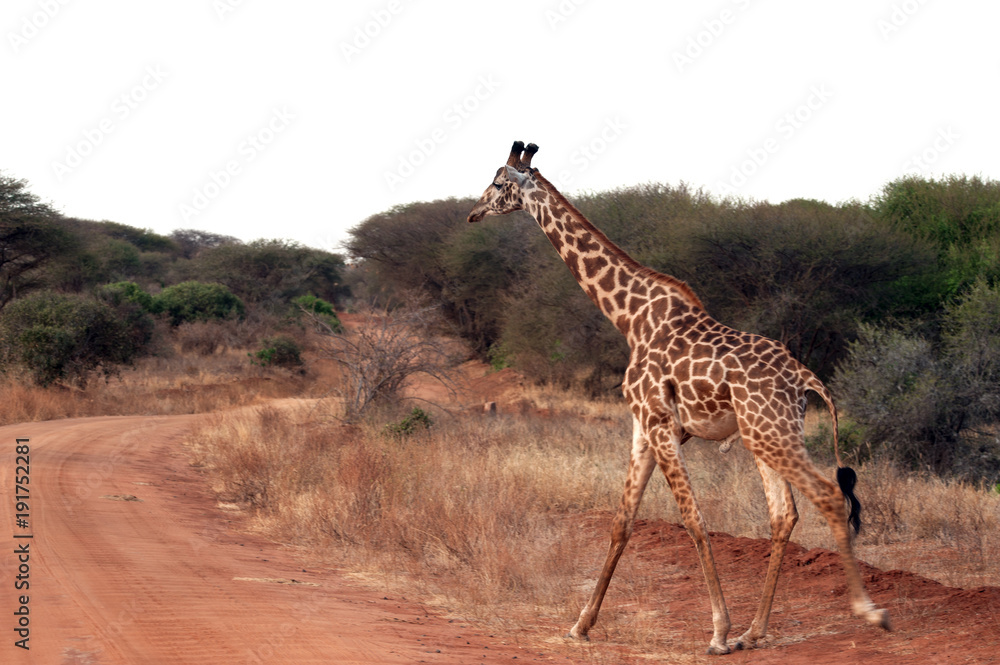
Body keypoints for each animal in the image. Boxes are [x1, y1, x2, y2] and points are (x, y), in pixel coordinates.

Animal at [466, 141, 891, 655]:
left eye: (497, 181)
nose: (472, 212)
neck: (629, 317)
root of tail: (806, 378)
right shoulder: (643, 429)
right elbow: (622, 521)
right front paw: (581, 624)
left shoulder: (660, 425)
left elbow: (693, 519)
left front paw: (718, 632)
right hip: (766, 435)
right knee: (784, 514)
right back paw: (755, 631)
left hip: (771, 434)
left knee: (828, 495)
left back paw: (868, 613)